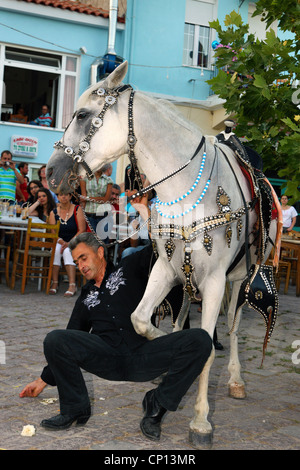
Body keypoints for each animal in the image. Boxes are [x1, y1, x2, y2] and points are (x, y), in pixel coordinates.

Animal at [47, 61, 278, 448]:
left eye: (82, 115)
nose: (50, 171)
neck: (188, 192)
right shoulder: (165, 270)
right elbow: (142, 320)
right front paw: (165, 356)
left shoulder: (215, 282)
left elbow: (208, 346)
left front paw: (200, 421)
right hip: (186, 278)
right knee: (183, 314)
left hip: (240, 280)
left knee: (232, 328)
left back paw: (235, 379)